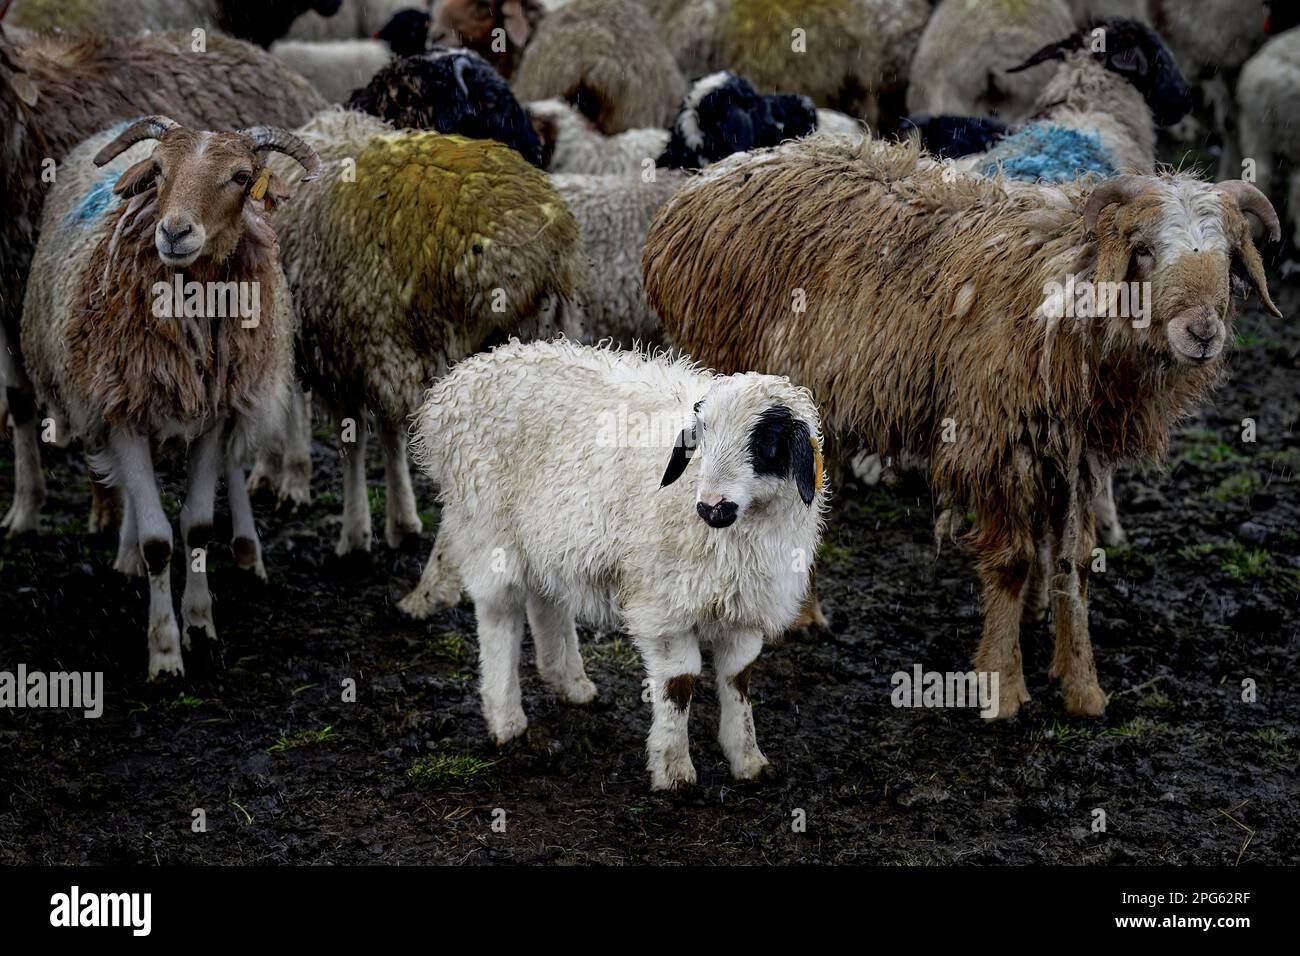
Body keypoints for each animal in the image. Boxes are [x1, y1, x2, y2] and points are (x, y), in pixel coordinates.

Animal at [20, 116, 320, 677]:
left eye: (242, 177)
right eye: (157, 170)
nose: (174, 232)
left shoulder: (217, 413)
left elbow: (197, 526)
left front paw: (200, 627)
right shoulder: (121, 411)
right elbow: (158, 540)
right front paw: (164, 652)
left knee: (231, 471)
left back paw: (247, 551)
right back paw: (128, 556)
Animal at [261, 108, 583, 560]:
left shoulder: (352, 348)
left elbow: (355, 441)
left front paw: (357, 532)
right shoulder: (375, 351)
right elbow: (389, 435)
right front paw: (401, 520)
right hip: (545, 331)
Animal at [408, 339, 827, 789]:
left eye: (765, 441)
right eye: (703, 434)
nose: (712, 507)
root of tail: (462, 378)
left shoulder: (747, 607)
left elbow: (738, 679)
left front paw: (748, 760)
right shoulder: (665, 605)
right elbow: (679, 683)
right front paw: (674, 770)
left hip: (546, 536)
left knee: (546, 600)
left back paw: (570, 683)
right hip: (487, 526)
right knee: (498, 614)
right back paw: (506, 719)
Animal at [642, 136, 1281, 719]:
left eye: (1230, 256)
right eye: (1144, 250)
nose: (1202, 334)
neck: (1066, 292)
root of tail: (702, 184)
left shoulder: (1077, 453)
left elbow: (1075, 564)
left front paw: (1083, 689)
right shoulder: (995, 440)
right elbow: (1013, 562)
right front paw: (1003, 686)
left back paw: (801, 615)